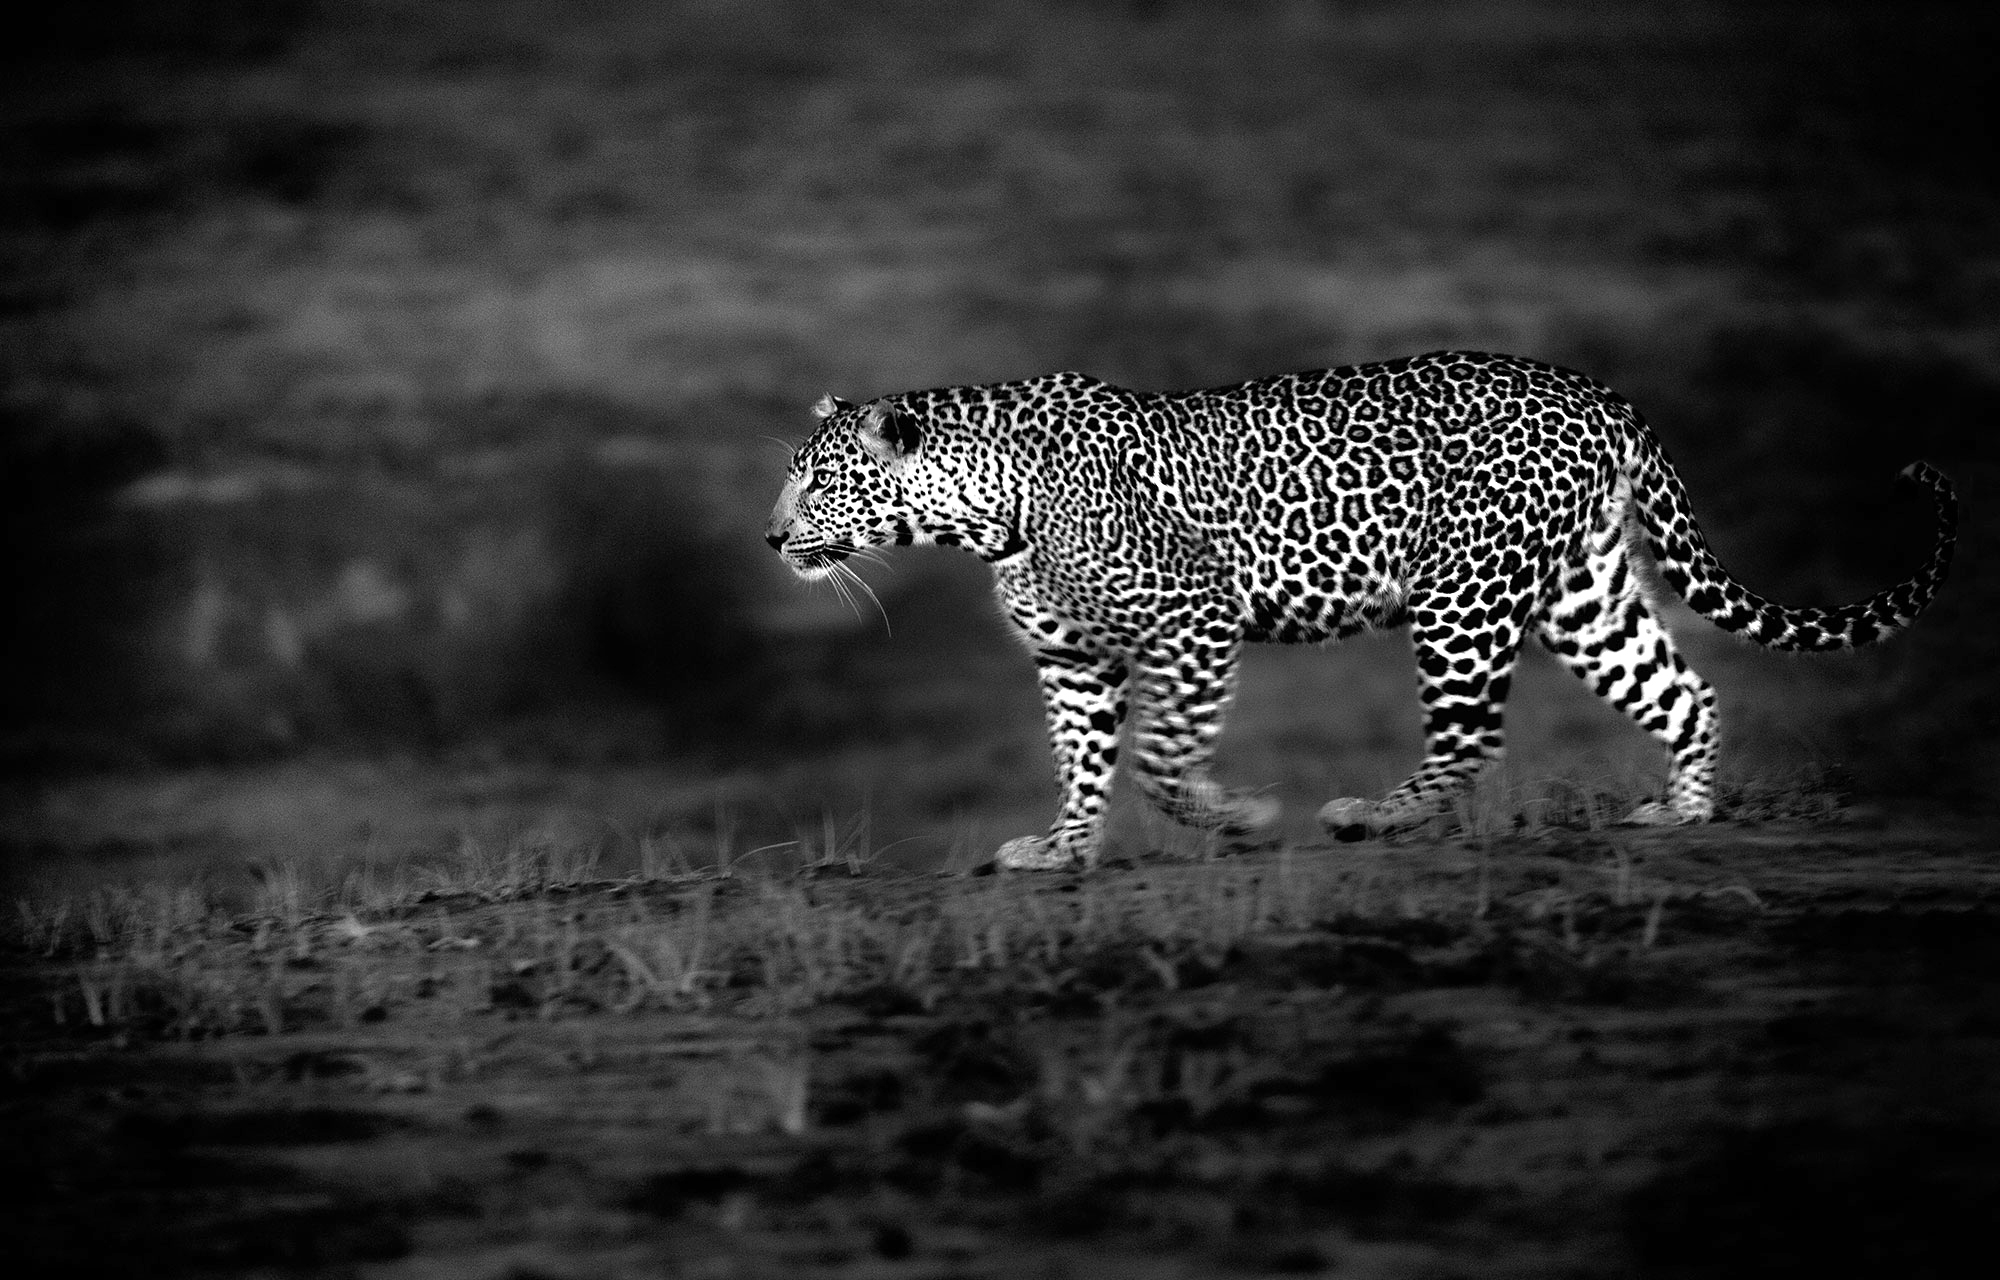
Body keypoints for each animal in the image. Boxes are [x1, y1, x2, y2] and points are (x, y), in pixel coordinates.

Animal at [764, 351, 1958, 871]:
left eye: (818, 481)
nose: (771, 539)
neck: (981, 511)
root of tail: (1596, 390)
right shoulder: (1074, 662)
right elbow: (1085, 760)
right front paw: (1062, 847)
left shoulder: (1192, 621)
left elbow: (1158, 757)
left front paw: (1235, 816)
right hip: (1581, 592)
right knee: (1683, 689)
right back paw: (1685, 810)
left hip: (1464, 593)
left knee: (1470, 736)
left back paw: (1373, 816)